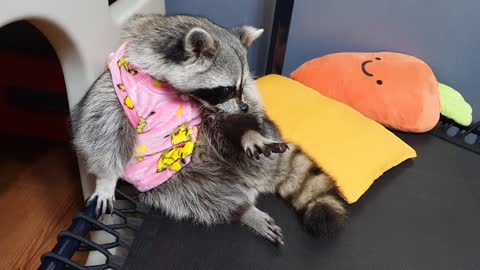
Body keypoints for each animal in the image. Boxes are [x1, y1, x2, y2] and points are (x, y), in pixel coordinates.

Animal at [71, 14, 346, 245]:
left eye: (242, 86)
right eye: (226, 89)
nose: (244, 108)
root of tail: (246, 179)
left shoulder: (211, 108)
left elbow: (226, 118)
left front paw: (247, 131)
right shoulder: (117, 88)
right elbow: (101, 129)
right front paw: (106, 180)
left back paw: (247, 139)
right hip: (176, 180)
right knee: (199, 196)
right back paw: (243, 210)